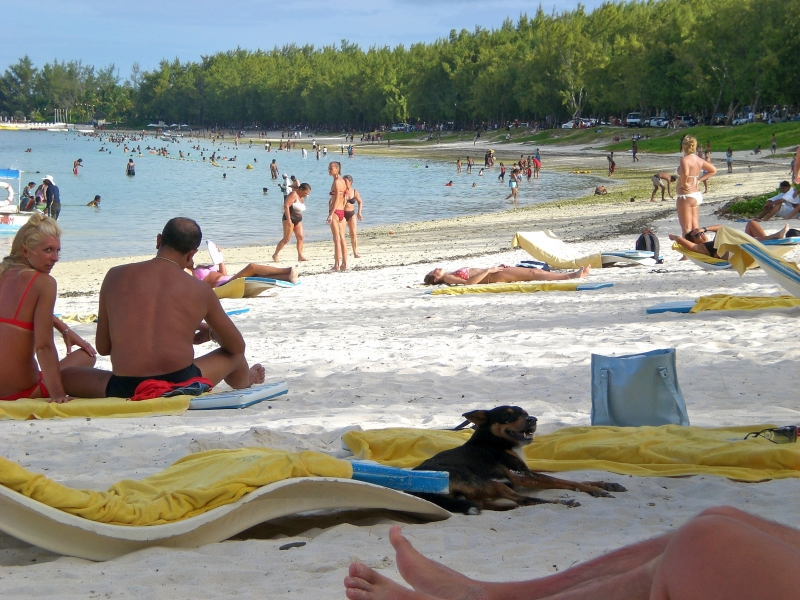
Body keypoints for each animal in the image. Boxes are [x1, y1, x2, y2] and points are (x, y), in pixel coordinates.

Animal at [412, 406, 624, 512]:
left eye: (526, 414)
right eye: (507, 416)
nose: (533, 419)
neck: (495, 441)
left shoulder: (526, 474)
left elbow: (568, 479)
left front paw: (604, 484)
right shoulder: (521, 475)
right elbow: (565, 481)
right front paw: (596, 490)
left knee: (493, 503)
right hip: (484, 482)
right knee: (525, 499)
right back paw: (563, 503)